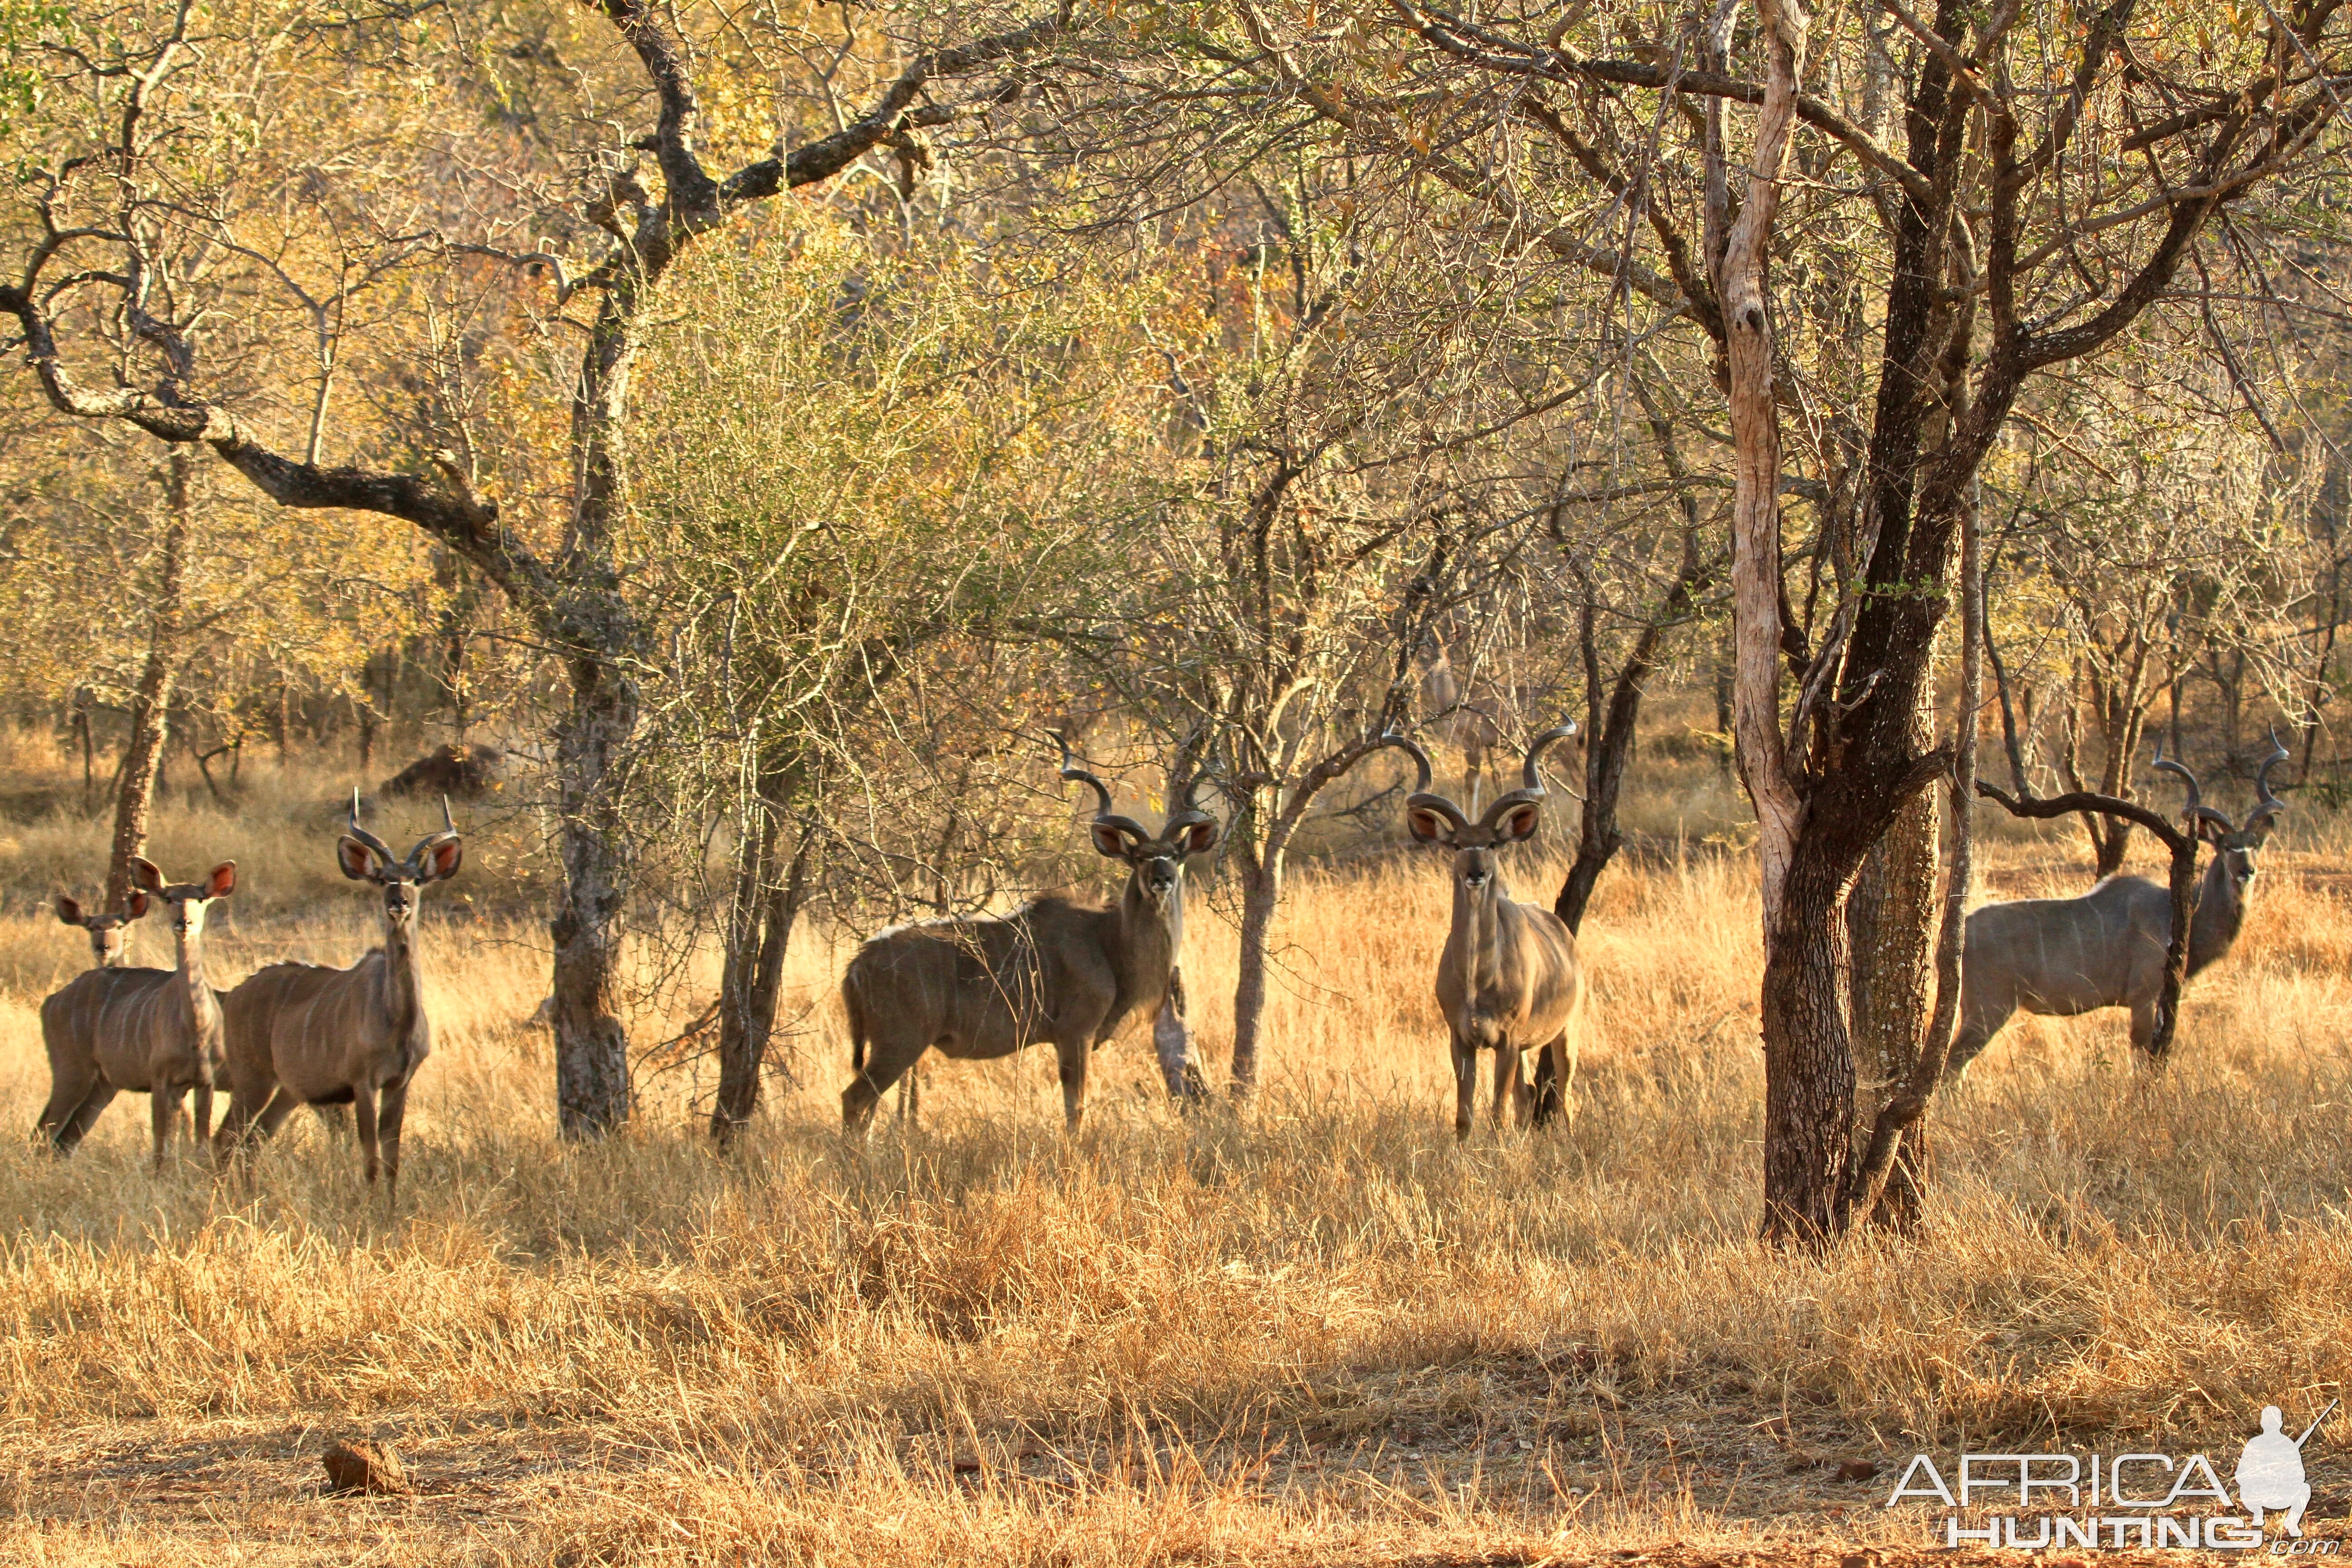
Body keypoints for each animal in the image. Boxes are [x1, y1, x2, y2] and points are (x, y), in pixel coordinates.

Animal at [35, 860, 234, 1166]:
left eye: (201, 899)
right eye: (169, 898)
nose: (184, 923)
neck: (195, 1030)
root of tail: (51, 1001)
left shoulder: (204, 1081)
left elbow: (199, 1143)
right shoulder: (161, 1079)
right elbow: (161, 1147)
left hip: (103, 1084)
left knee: (66, 1138)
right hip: (71, 1070)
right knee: (44, 1132)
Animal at [220, 799, 458, 1203]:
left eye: (416, 879)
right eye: (383, 879)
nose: (399, 902)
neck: (397, 1021)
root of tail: (233, 995)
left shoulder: (400, 1083)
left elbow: (393, 1161)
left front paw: (391, 1211)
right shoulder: (363, 1083)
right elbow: (370, 1159)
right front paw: (370, 1209)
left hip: (287, 1090)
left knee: (253, 1141)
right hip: (253, 1079)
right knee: (224, 1140)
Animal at [837, 743, 1223, 1133]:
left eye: (1174, 856)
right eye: (1141, 858)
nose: (1162, 879)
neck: (1109, 939)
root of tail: (858, 964)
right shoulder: (1075, 1033)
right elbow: (1075, 1108)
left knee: (868, 1105)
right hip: (901, 1042)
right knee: (854, 1099)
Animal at [1373, 724, 1580, 1142]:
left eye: (1494, 843)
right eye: (1456, 844)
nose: (1477, 873)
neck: (1476, 979)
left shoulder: (1507, 1039)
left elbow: (1497, 1114)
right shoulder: (1461, 1039)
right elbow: (1465, 1116)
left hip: (1567, 1031)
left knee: (1566, 1097)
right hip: (1526, 1048)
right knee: (1528, 1094)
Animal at [1947, 738, 2295, 1081]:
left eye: (2255, 845)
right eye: (2227, 847)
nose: (2247, 871)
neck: (2176, 912)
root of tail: (1953, 940)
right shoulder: (2144, 999)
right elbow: (2143, 1060)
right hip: (1989, 1009)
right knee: (1952, 1064)